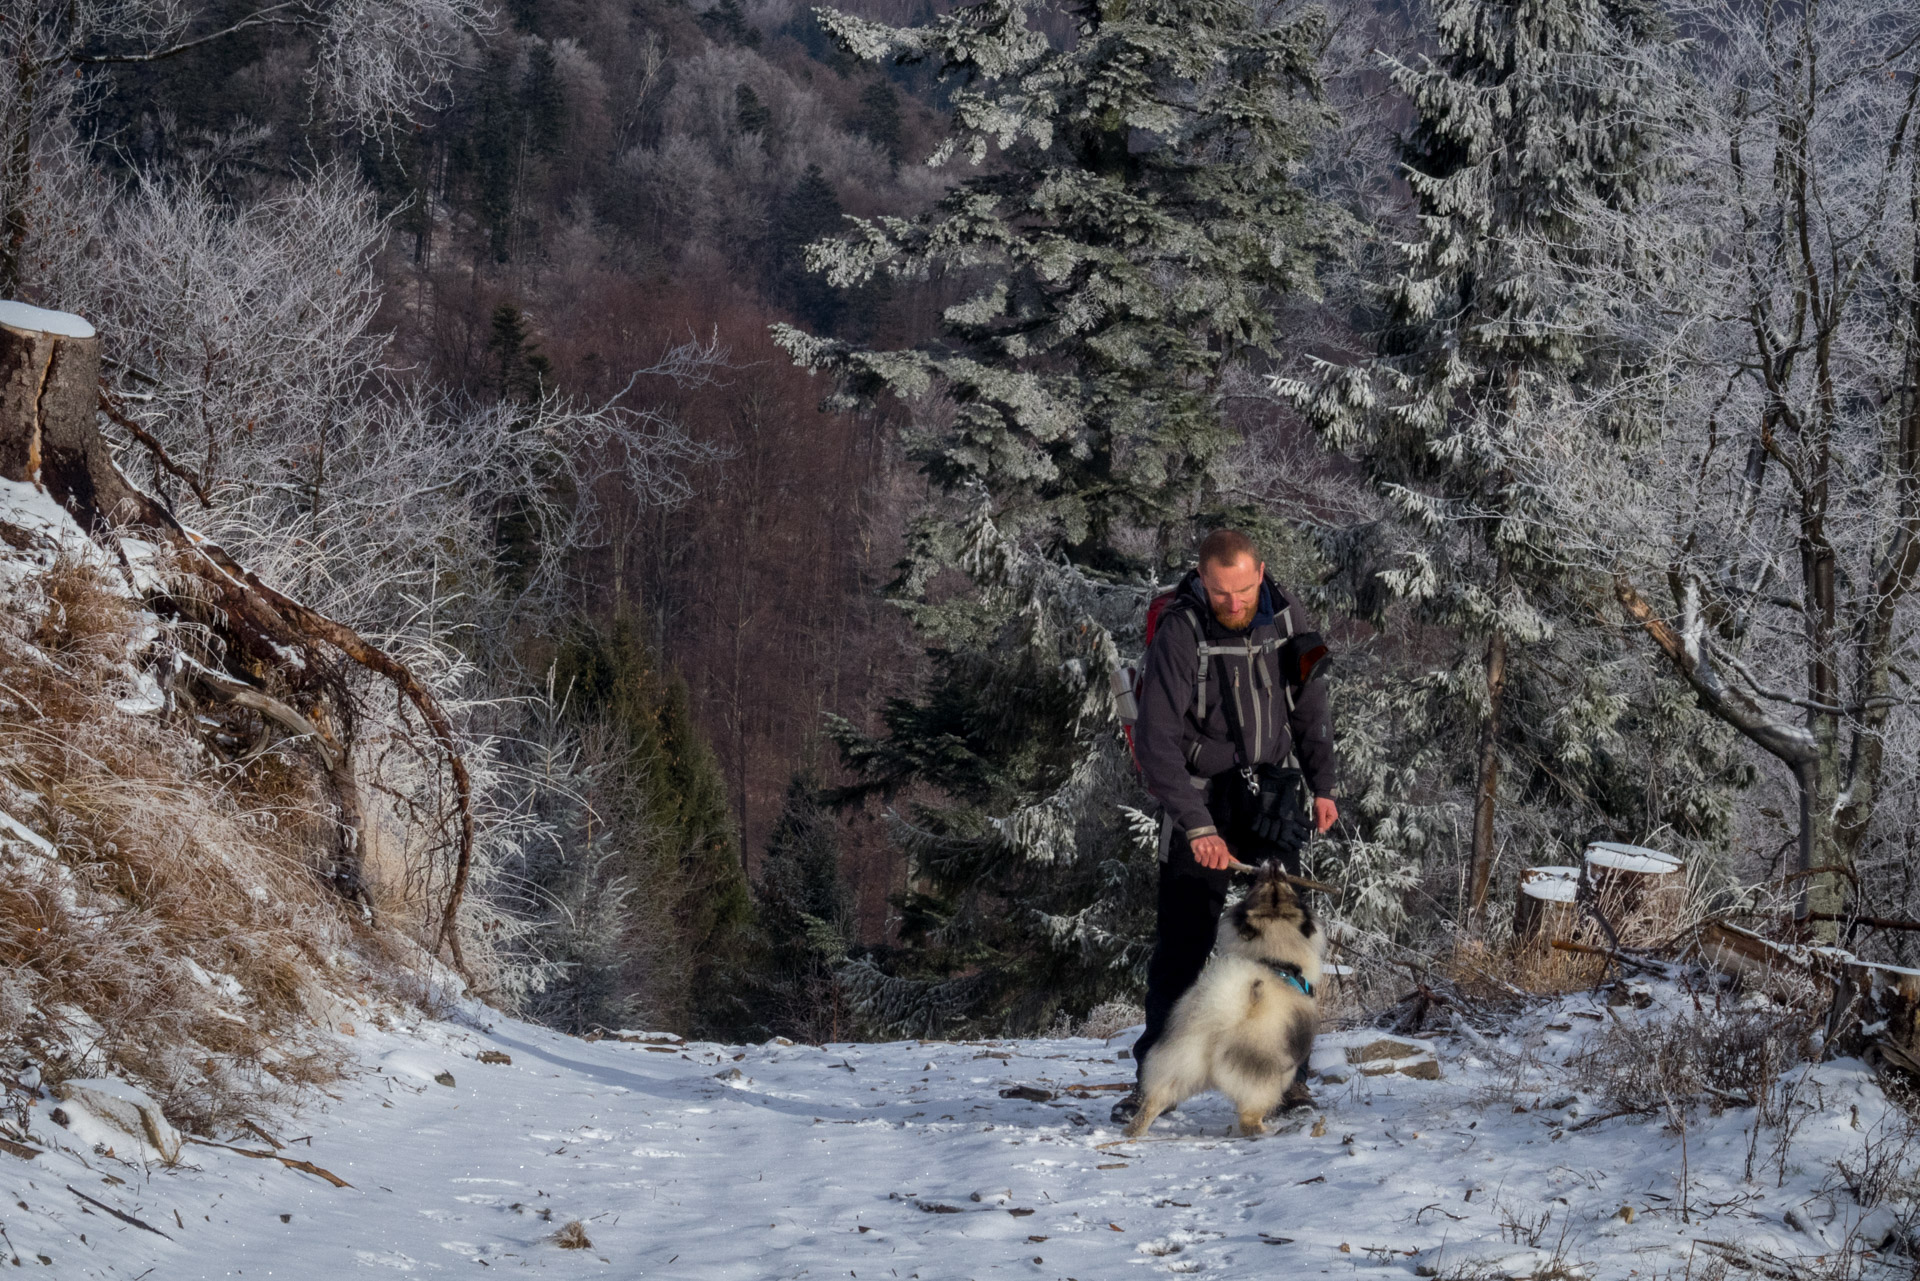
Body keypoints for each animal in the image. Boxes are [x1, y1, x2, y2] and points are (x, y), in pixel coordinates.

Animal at [1121, 868, 1320, 1136]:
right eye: (1283, 885)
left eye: (1269, 884)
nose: (1274, 865)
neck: (1275, 951)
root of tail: (1220, 1019)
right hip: (1261, 1082)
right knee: (1248, 1119)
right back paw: (1267, 1131)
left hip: (1175, 1065)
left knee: (1153, 1102)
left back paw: (1133, 1129)